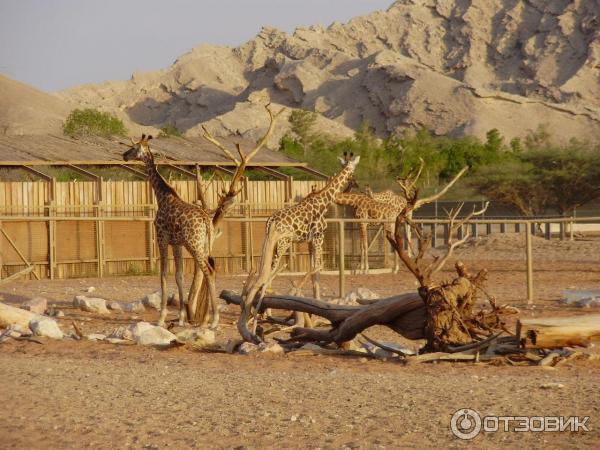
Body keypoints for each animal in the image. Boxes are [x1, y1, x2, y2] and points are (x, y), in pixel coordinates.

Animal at [240, 151, 360, 342]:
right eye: (352, 169)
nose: (354, 180)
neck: (324, 201)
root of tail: (270, 222)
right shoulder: (318, 237)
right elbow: (318, 268)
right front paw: (315, 311)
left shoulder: (310, 242)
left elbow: (315, 273)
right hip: (283, 244)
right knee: (269, 275)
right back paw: (255, 322)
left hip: (272, 244)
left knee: (263, 274)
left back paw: (257, 316)